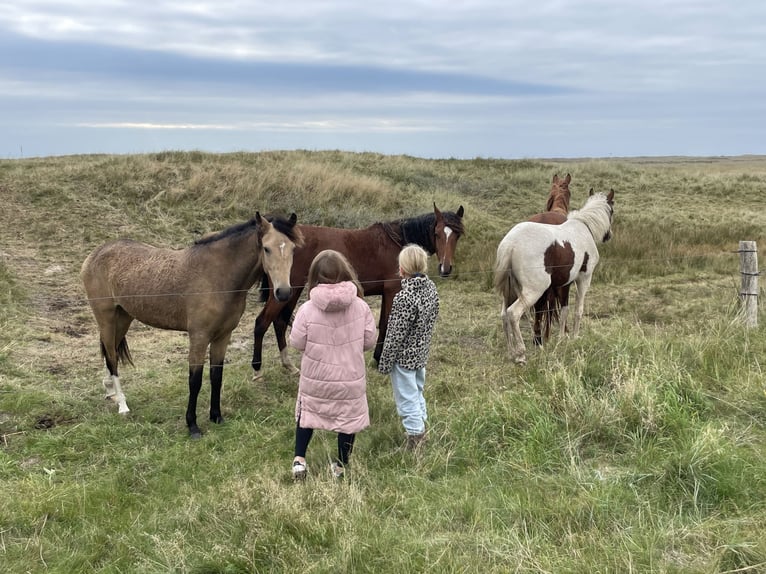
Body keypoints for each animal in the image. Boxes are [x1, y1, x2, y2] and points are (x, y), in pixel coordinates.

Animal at [81, 213, 304, 439]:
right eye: (266, 248)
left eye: (293, 249)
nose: (284, 293)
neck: (217, 276)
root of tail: (96, 253)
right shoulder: (199, 336)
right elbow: (195, 381)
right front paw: (193, 425)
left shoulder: (223, 336)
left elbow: (216, 376)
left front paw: (216, 416)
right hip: (106, 318)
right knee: (112, 357)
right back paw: (122, 404)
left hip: (124, 317)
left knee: (111, 354)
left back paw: (111, 391)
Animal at [251, 203, 465, 379]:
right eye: (437, 233)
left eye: (457, 235)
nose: (445, 268)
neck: (398, 242)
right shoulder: (391, 290)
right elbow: (385, 324)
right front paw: (378, 360)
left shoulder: (386, 292)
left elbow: (383, 323)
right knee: (262, 323)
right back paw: (257, 369)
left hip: (291, 291)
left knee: (279, 323)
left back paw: (288, 365)